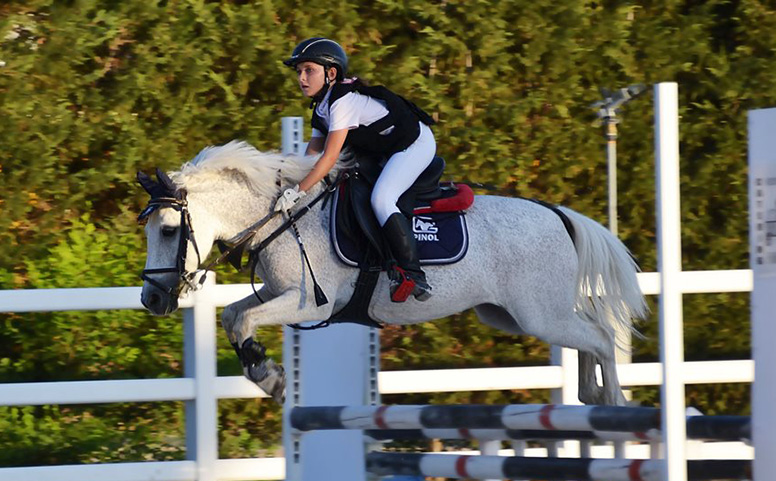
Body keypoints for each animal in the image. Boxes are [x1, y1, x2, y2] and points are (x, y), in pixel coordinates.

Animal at [139, 140, 648, 404]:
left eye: (167, 230)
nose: (152, 300)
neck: (282, 215)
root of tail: (558, 214)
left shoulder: (309, 302)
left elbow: (242, 318)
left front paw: (272, 378)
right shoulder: (277, 292)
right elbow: (233, 316)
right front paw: (269, 375)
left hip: (539, 314)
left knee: (600, 336)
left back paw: (613, 405)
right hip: (510, 315)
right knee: (589, 336)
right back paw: (592, 397)